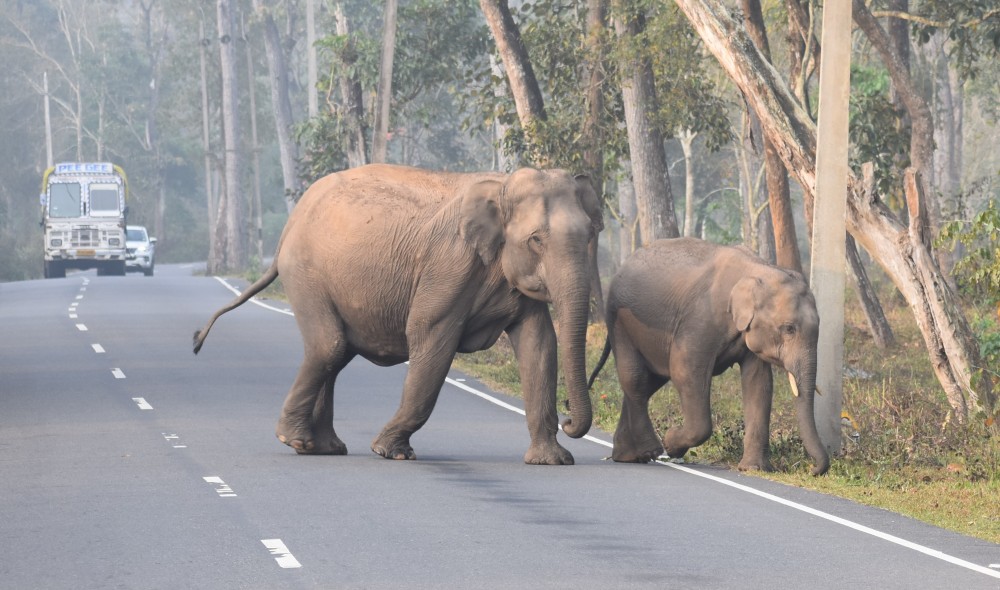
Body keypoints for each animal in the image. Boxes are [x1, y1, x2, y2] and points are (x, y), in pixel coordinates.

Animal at [193, 164, 600, 464]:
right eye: (536, 240)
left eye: (591, 235)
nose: (568, 418)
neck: (500, 185)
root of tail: (289, 226)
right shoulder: (448, 266)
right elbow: (430, 339)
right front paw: (390, 451)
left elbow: (539, 344)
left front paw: (552, 460)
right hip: (307, 275)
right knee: (328, 346)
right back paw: (297, 442)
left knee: (336, 355)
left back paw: (323, 448)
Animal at [588, 238, 832, 478]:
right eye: (789, 328)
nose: (811, 470)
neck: (757, 269)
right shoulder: (700, 319)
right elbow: (684, 371)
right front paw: (671, 443)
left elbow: (759, 383)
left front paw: (754, 468)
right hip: (620, 322)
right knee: (636, 379)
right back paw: (650, 451)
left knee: (648, 383)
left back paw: (628, 456)